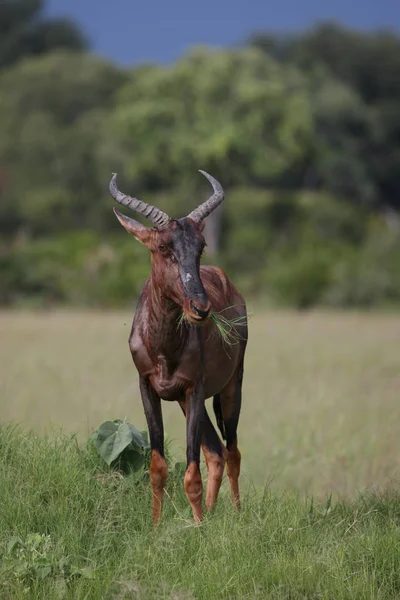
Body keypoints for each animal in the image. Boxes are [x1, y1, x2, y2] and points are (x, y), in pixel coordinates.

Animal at [109, 170, 247, 524]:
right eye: (163, 247)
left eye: (200, 246)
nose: (200, 308)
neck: (164, 349)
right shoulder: (148, 388)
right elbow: (157, 467)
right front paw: (157, 528)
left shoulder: (194, 389)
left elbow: (191, 473)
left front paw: (197, 529)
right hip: (187, 403)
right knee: (215, 452)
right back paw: (210, 514)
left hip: (231, 386)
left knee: (232, 451)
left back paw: (236, 514)